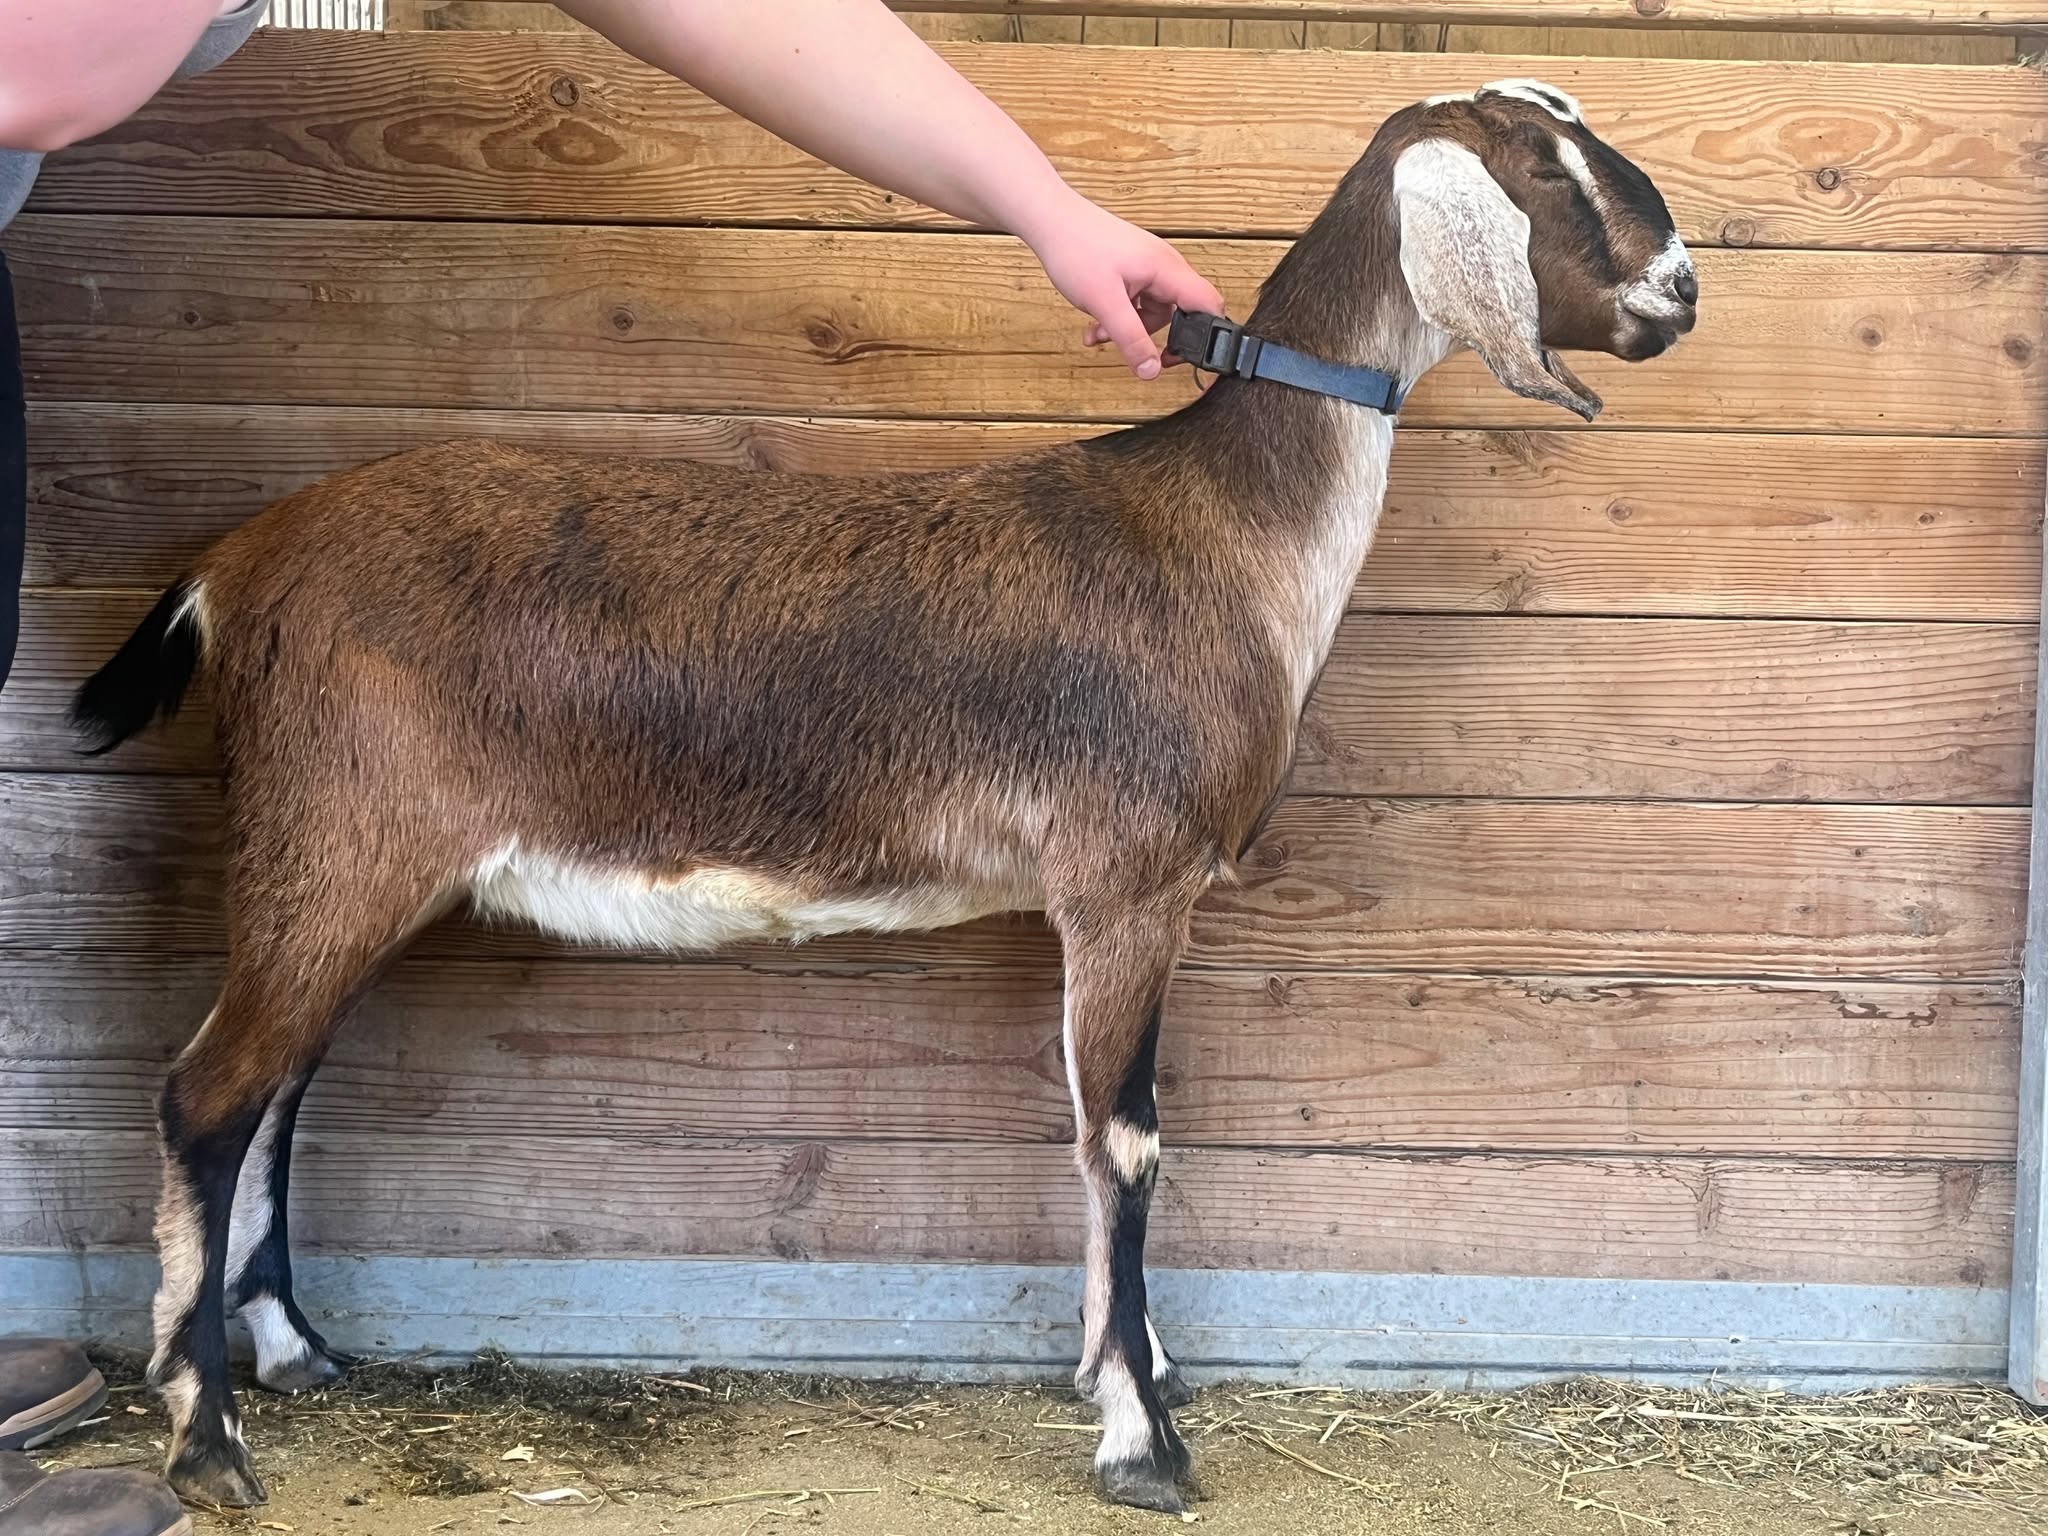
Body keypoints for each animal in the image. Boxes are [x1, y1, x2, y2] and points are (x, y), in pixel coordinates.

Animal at [74, 80, 1695, 1514]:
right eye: (1547, 169)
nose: (1679, 294)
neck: (1224, 530)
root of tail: (232, 568)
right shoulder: (1126, 881)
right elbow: (1124, 1138)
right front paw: (1142, 1435)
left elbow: (1101, 1129)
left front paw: (1126, 1370)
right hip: (343, 839)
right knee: (208, 1096)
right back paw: (205, 1438)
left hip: (348, 866)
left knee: (276, 1091)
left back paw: (287, 1350)